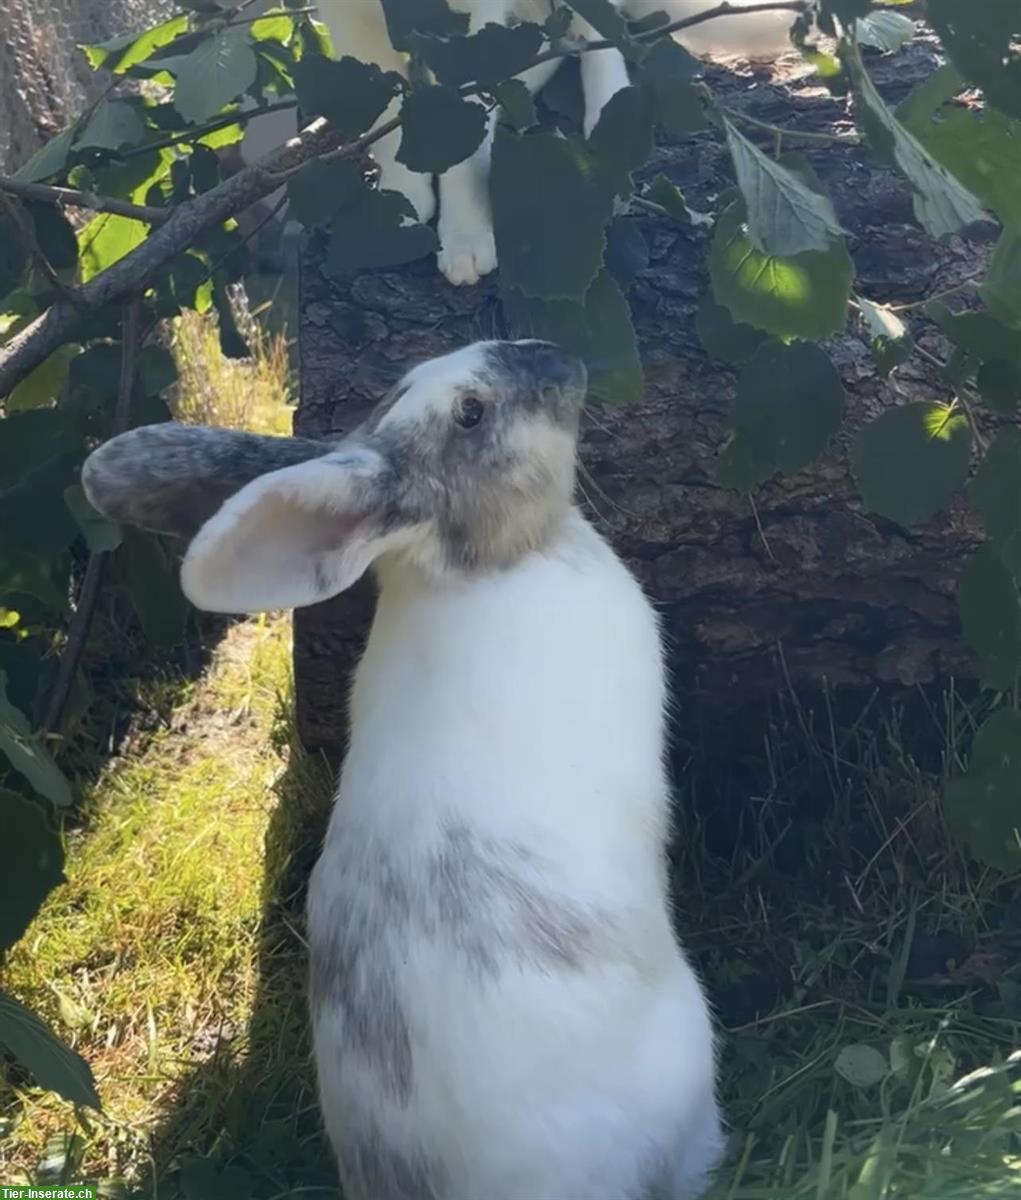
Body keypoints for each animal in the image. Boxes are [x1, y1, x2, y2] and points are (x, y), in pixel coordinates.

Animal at [316, 0, 796, 285]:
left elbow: (469, 133)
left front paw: (466, 233)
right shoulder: (347, 16)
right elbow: (385, 106)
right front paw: (400, 199)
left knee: (599, 31)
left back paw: (601, 104)